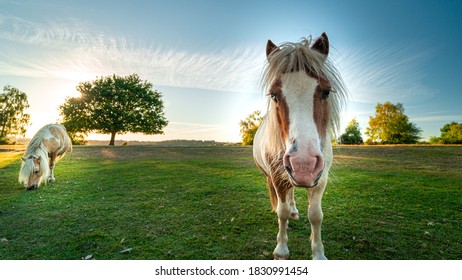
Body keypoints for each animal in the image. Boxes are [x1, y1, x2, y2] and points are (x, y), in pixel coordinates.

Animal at [253, 33, 346, 260]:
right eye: (274, 95)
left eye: (326, 92)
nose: (303, 165)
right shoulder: (277, 176)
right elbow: (282, 212)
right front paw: (281, 250)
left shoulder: (321, 178)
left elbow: (316, 215)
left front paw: (319, 254)